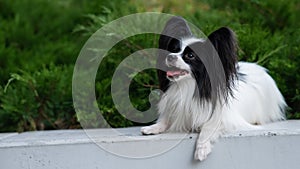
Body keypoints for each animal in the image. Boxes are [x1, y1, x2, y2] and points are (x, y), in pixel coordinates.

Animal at [141, 16, 286, 161]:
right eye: (174, 50)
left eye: (190, 56)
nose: (170, 56)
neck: (188, 86)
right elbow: (165, 118)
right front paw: (154, 127)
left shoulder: (225, 119)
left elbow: (208, 128)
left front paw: (202, 148)